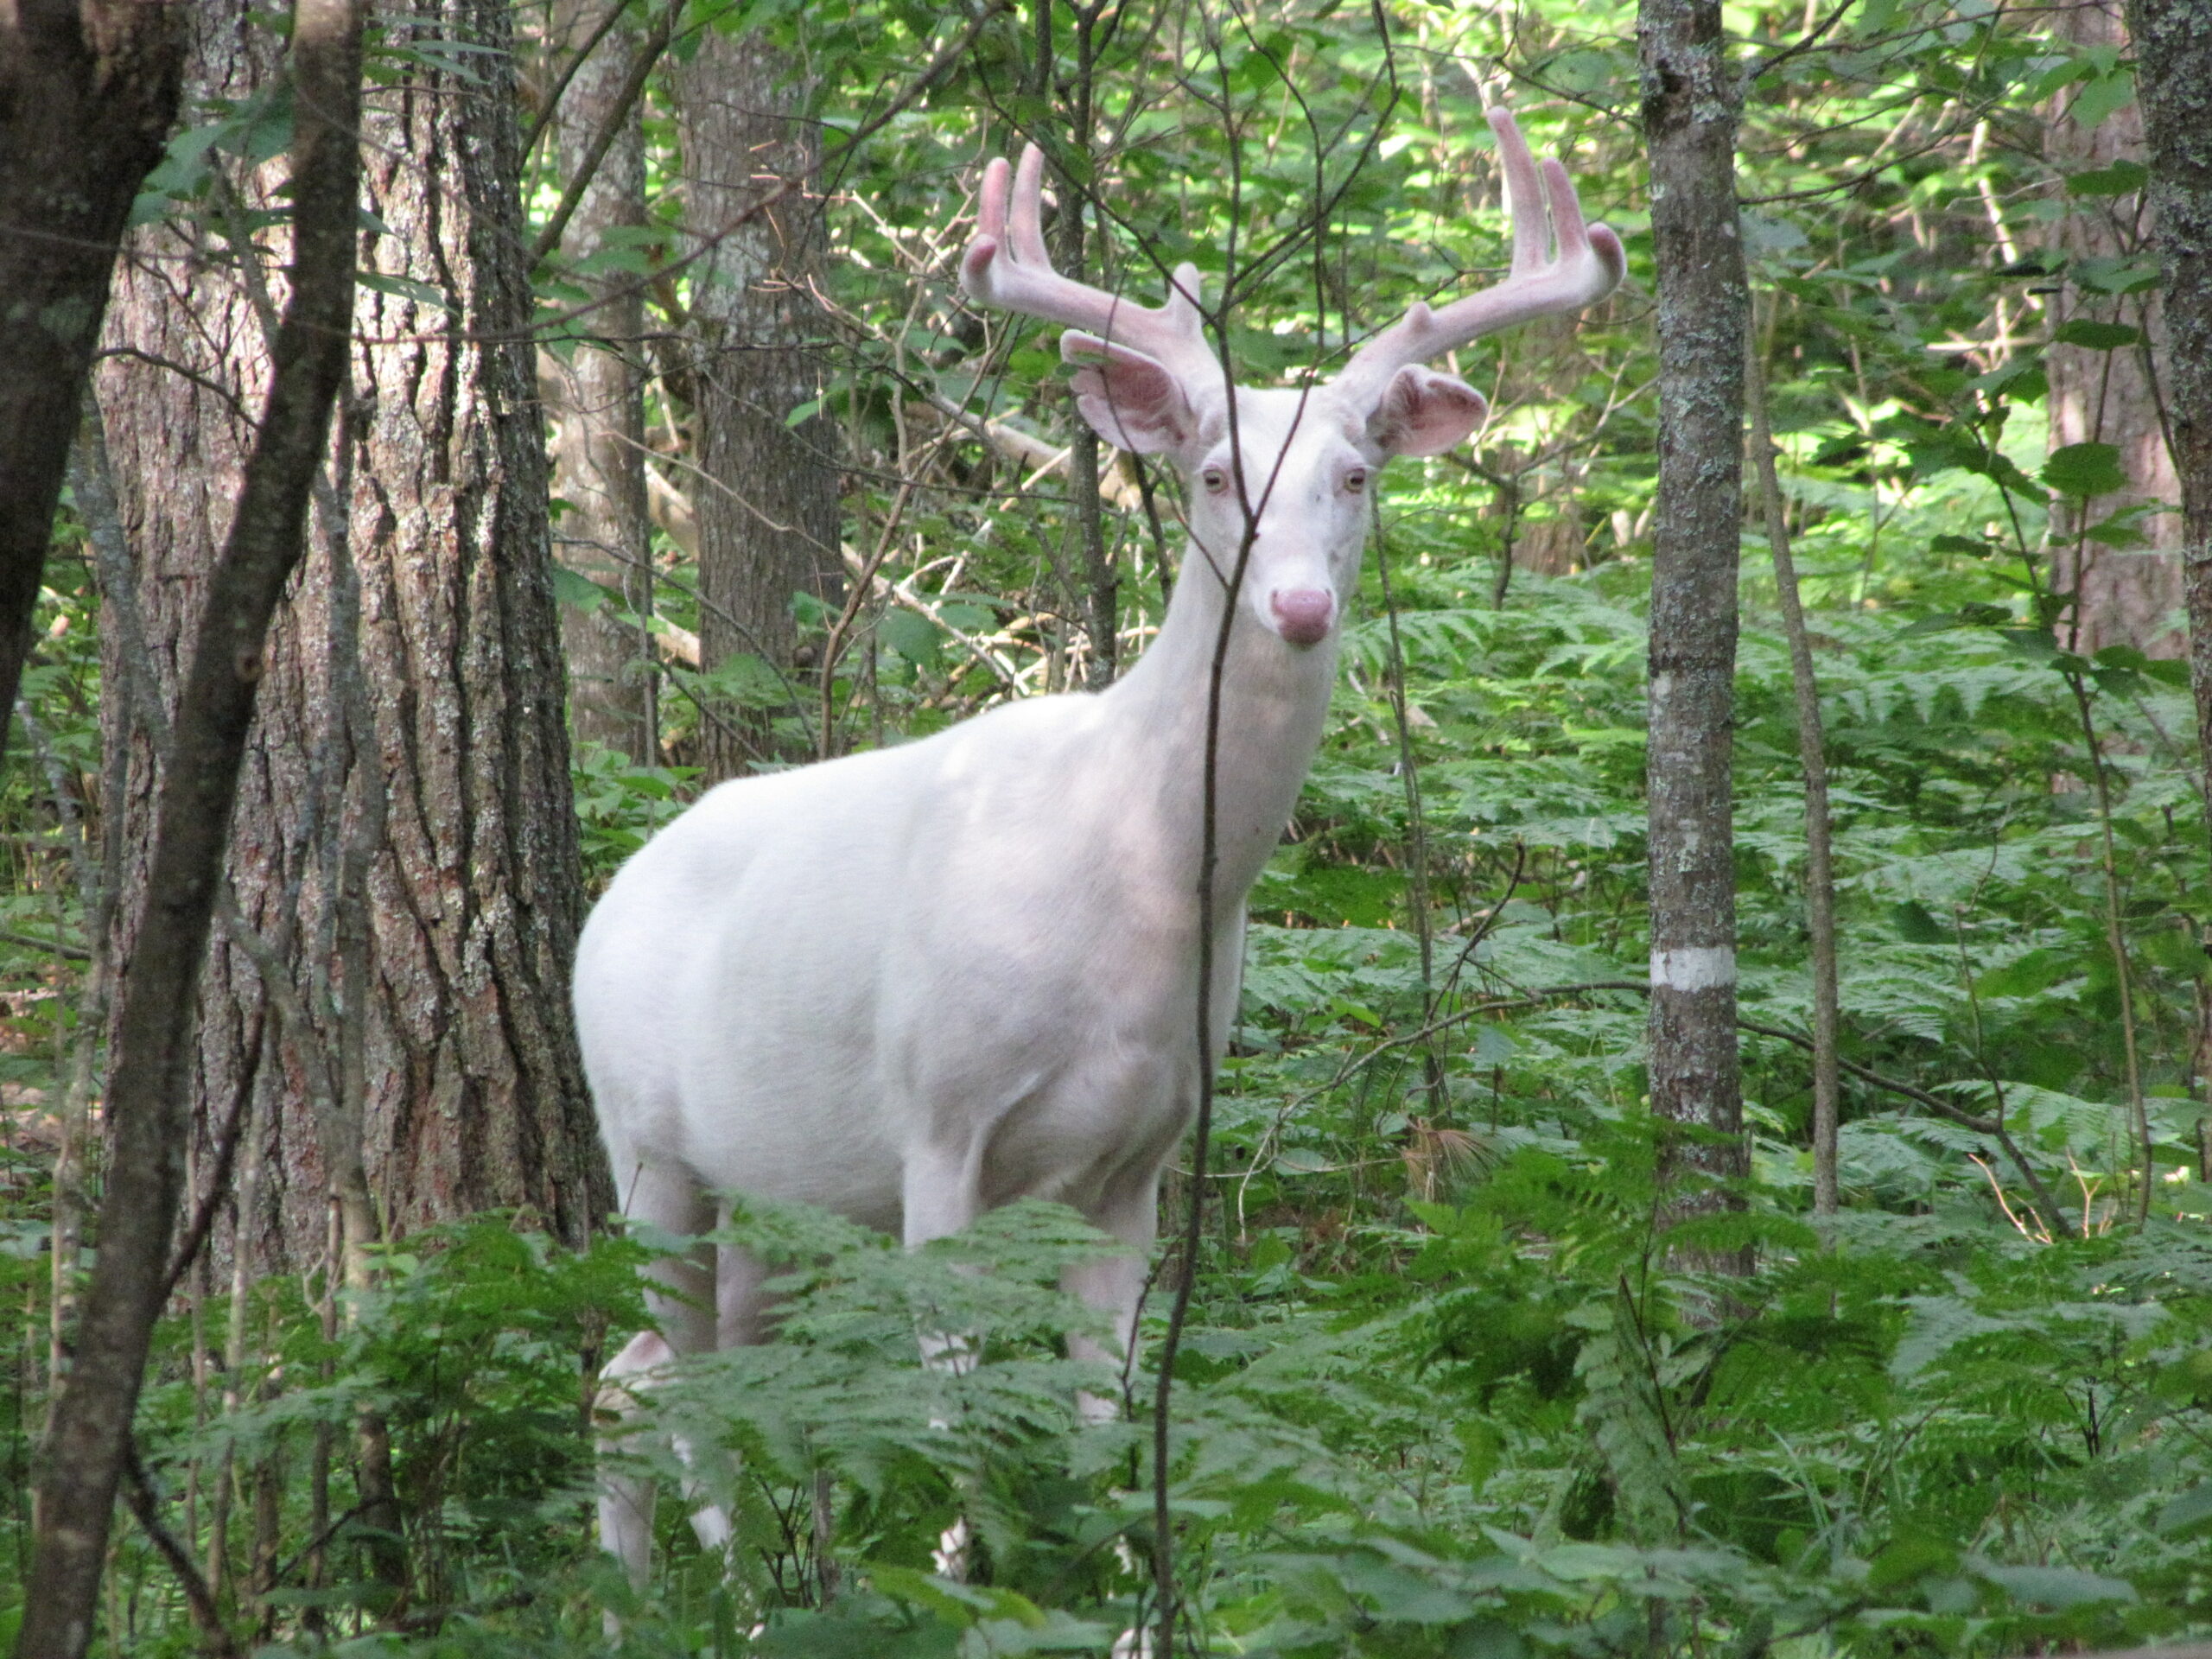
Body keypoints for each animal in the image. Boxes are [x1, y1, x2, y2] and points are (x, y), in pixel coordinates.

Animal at [576, 108, 1622, 1585]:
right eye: (1214, 471)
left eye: (1355, 474)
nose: (1298, 606)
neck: (1137, 878)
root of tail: (606, 896)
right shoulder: (937, 1120)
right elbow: (957, 1426)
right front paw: (972, 1588)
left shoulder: (1136, 1159)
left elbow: (1103, 1426)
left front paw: (1122, 1599)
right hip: (645, 1146)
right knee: (675, 1386)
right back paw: (729, 1596)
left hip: (782, 1197)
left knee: (648, 1375)